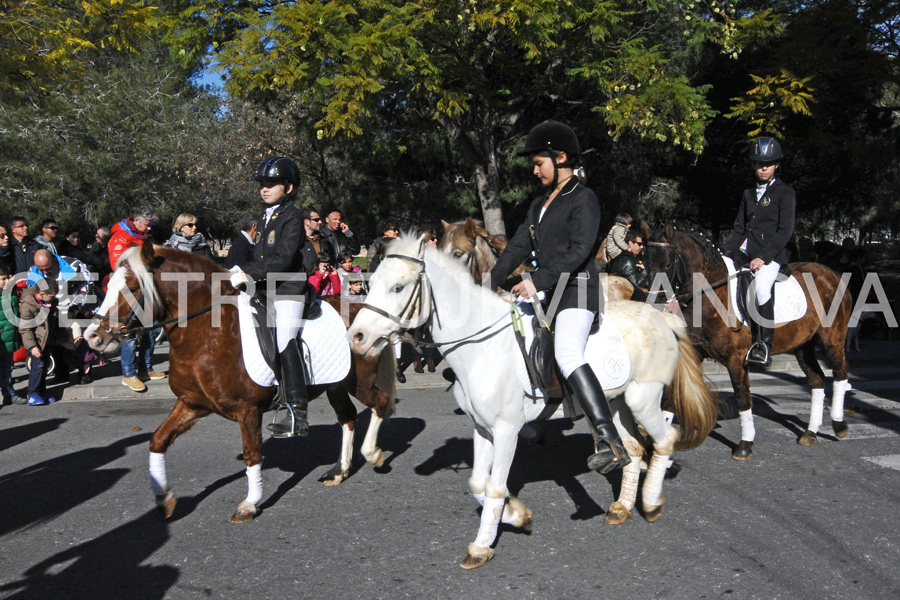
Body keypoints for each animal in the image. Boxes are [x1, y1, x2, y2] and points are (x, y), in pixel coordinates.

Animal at [86, 241, 396, 524]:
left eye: (132, 287)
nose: (93, 337)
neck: (207, 335)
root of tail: (360, 309)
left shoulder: (247, 409)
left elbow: (252, 454)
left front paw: (250, 504)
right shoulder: (192, 404)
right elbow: (158, 440)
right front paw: (164, 498)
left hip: (359, 383)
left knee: (379, 404)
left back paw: (373, 454)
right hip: (336, 385)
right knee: (348, 417)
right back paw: (339, 471)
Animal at [344, 233, 716, 568]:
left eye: (398, 287)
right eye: (372, 283)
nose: (356, 337)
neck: (482, 346)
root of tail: (662, 316)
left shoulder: (507, 429)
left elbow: (495, 487)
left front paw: (481, 547)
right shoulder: (483, 428)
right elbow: (479, 482)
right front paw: (515, 515)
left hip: (643, 399)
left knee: (665, 439)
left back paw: (650, 504)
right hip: (616, 404)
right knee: (634, 449)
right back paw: (621, 506)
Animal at [640, 225, 852, 460]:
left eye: (667, 265)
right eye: (645, 263)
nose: (653, 303)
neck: (711, 295)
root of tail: (832, 274)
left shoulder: (736, 358)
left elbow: (742, 398)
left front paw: (745, 445)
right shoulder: (696, 352)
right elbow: (671, 399)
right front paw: (658, 444)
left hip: (831, 340)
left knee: (841, 373)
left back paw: (839, 425)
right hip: (803, 346)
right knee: (817, 380)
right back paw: (811, 433)